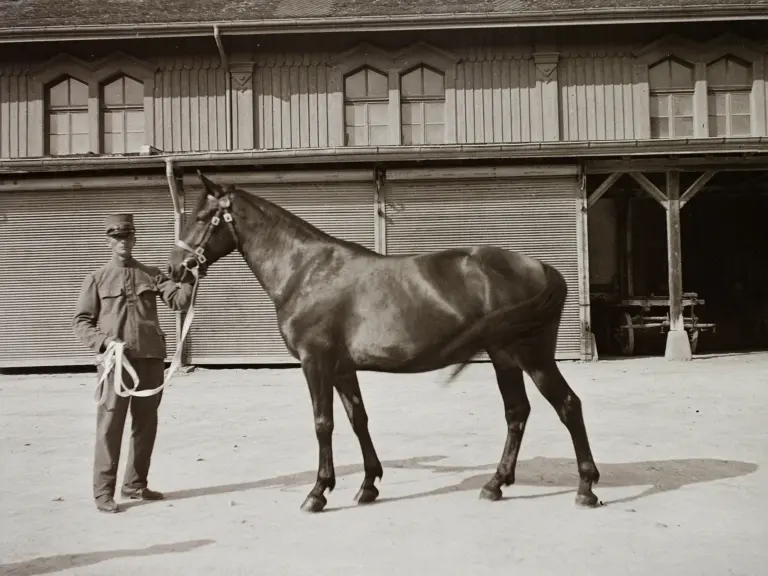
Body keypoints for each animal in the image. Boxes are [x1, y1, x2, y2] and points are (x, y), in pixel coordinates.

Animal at [166, 171, 601, 513]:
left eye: (202, 218)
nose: (172, 270)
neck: (306, 272)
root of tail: (541, 267)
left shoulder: (315, 362)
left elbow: (323, 423)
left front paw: (318, 492)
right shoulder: (342, 367)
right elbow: (357, 419)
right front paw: (368, 484)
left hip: (533, 356)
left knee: (568, 405)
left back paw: (585, 488)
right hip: (504, 356)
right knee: (517, 413)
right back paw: (495, 484)